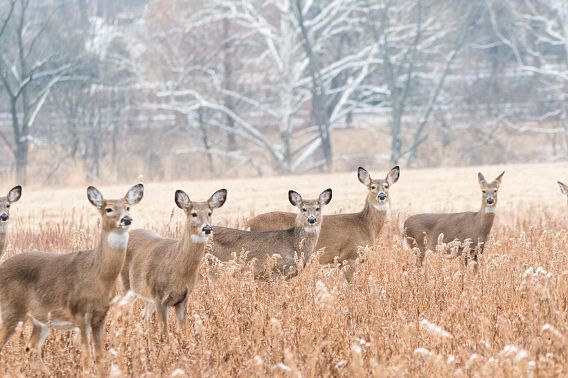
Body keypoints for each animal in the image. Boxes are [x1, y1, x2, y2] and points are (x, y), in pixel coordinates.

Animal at [0, 185, 143, 374]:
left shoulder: (100, 317)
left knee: (30, 348)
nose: (127, 219)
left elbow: (100, 358)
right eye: (109, 209)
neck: (98, 276)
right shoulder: (80, 313)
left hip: (40, 321)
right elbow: (86, 359)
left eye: (128, 207)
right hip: (11, 310)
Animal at [121, 188, 227, 340]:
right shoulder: (159, 296)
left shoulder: (183, 299)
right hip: (126, 285)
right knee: (126, 314)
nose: (207, 228)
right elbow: (164, 333)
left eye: (209, 213)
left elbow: (183, 331)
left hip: (146, 293)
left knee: (144, 315)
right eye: (194, 214)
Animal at [245, 167, 400, 280]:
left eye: (386, 186)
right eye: (372, 187)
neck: (366, 226)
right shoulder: (350, 255)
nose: (382, 196)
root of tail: (248, 222)